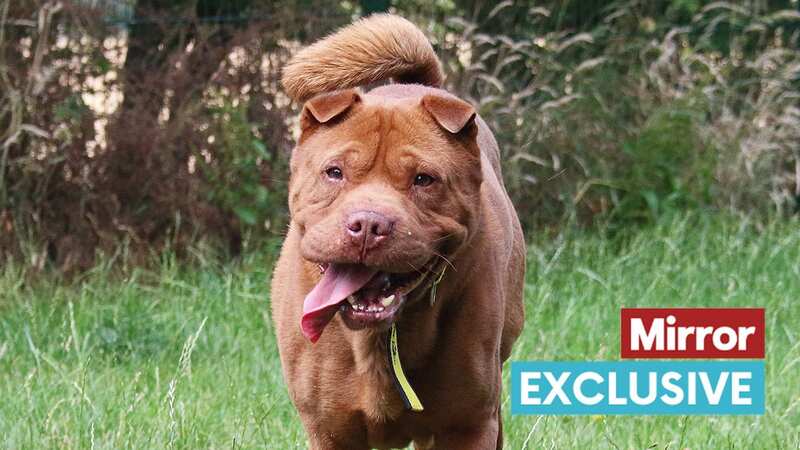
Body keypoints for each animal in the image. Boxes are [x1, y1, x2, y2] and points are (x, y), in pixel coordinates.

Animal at [272, 14, 528, 450]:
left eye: (423, 179)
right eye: (334, 172)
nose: (368, 225)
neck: (376, 339)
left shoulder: (468, 424)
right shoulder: (330, 430)